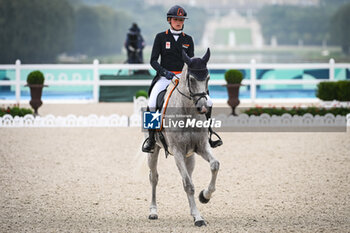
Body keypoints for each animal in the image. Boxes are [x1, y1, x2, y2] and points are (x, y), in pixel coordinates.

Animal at [147, 48, 219, 227]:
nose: (203, 108)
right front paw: (199, 218)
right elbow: (188, 185)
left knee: (188, 174)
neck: (188, 112)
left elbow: (214, 165)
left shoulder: (201, 146)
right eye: (191, 79)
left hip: (190, 155)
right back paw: (153, 211)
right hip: (154, 151)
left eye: (208, 78)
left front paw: (204, 197)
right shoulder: (177, 152)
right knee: (154, 178)